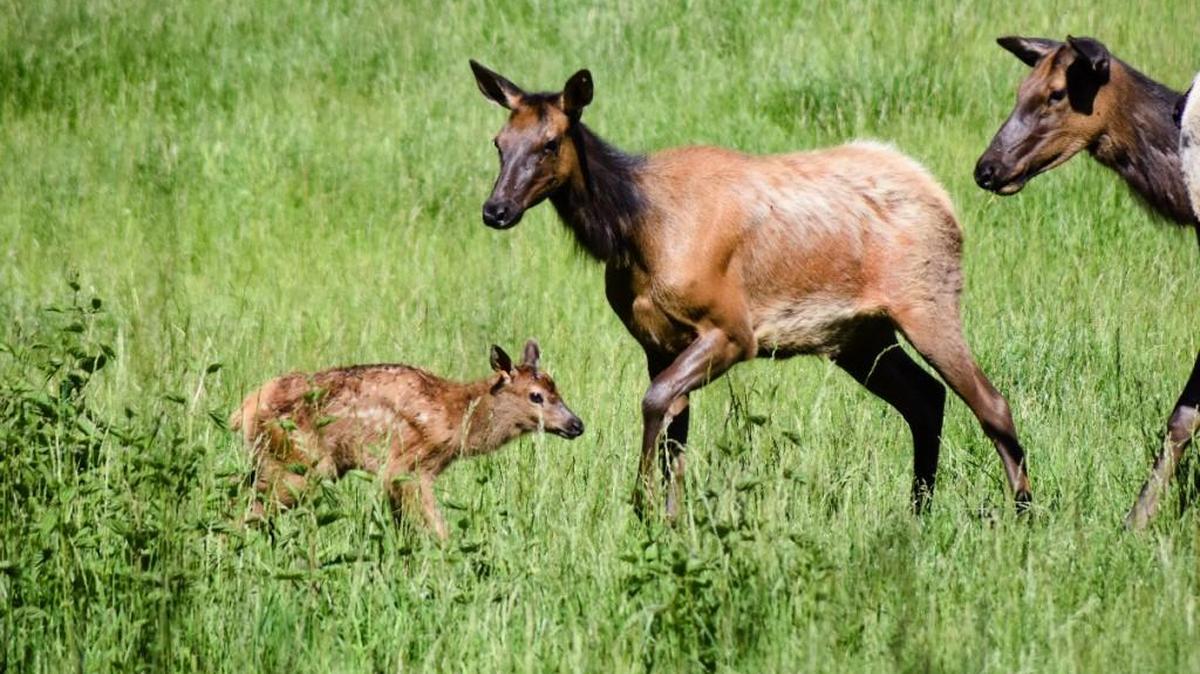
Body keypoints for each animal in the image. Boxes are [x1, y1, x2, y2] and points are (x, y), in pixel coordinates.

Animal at [230, 340, 584, 539]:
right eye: (536, 396)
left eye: (557, 388)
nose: (577, 424)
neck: (457, 417)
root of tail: (244, 409)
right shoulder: (409, 466)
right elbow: (438, 529)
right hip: (303, 463)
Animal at [469, 60, 1032, 520]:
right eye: (499, 142)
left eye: (550, 143)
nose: (495, 209)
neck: (636, 235)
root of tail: (945, 203)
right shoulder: (657, 342)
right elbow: (673, 428)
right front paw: (666, 520)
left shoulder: (735, 330)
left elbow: (655, 402)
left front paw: (642, 505)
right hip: (859, 337)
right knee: (926, 397)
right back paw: (918, 510)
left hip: (927, 301)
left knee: (991, 402)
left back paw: (1022, 511)